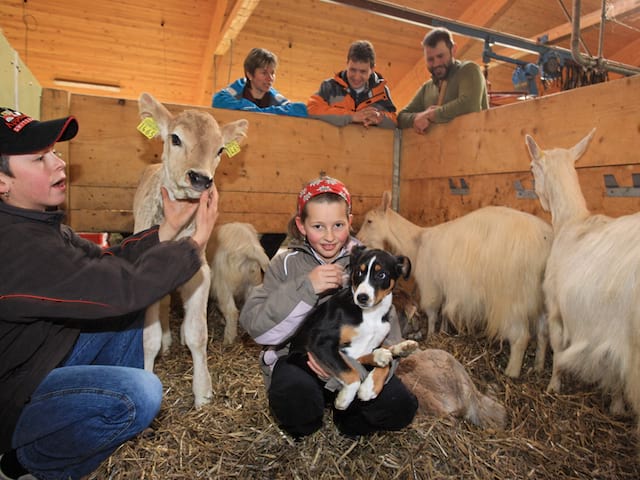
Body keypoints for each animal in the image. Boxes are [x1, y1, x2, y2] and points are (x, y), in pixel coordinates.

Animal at [133, 92, 248, 406]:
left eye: (220, 149)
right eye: (175, 138)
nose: (200, 178)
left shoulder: (200, 271)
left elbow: (199, 333)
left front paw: (203, 394)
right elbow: (148, 338)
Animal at [296, 248, 420, 408]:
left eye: (381, 275)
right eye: (359, 272)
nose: (362, 297)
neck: (371, 314)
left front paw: (369, 388)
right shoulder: (320, 342)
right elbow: (350, 372)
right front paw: (345, 398)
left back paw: (401, 348)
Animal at [358, 192, 552, 378]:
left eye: (369, 220)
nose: (359, 239)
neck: (418, 242)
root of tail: (546, 246)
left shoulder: (431, 284)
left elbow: (432, 313)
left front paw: (431, 335)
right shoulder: (446, 286)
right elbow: (444, 312)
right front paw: (443, 331)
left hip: (512, 299)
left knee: (521, 337)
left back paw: (512, 372)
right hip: (542, 301)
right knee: (543, 334)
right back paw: (538, 367)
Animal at [524, 129, 640, 422]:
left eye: (532, 167)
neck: (573, 220)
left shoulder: (556, 304)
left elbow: (557, 345)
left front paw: (553, 384)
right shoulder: (611, 336)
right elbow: (614, 372)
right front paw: (617, 405)